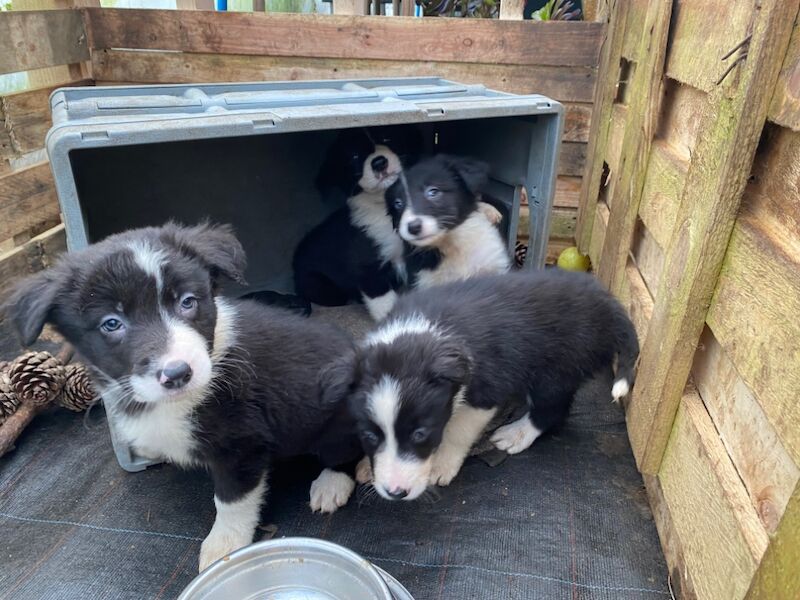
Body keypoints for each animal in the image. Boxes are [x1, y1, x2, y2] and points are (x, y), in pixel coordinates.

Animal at [290, 125, 422, 324]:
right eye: (354, 156)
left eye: (387, 137)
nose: (379, 162)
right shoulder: (369, 268)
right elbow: (384, 302)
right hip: (320, 287)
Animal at [322, 270, 640, 500]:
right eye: (369, 435)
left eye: (420, 434)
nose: (395, 493)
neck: (422, 334)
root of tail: (608, 302)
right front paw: (367, 465)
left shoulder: (486, 392)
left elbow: (457, 431)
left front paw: (441, 465)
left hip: (557, 369)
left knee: (553, 410)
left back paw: (516, 434)